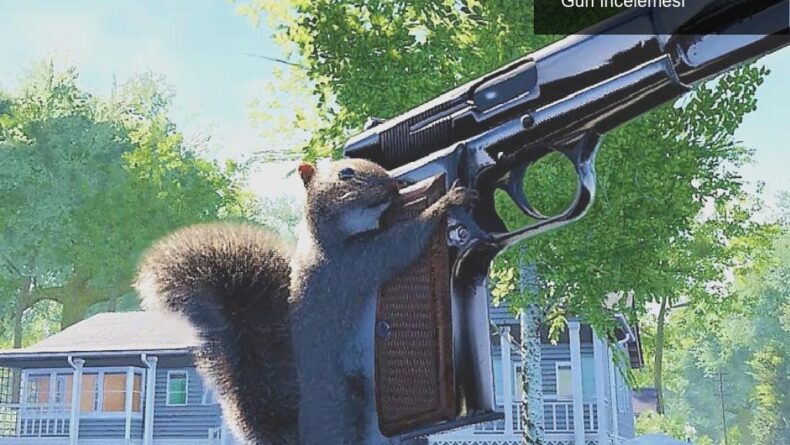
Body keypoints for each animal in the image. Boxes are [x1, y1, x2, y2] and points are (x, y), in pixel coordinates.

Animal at [135, 158, 476, 445]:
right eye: (346, 173)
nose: (394, 185)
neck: (327, 240)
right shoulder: (352, 264)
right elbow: (401, 245)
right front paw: (446, 202)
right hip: (340, 405)